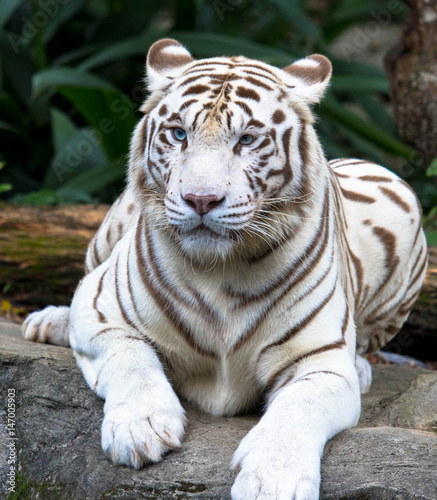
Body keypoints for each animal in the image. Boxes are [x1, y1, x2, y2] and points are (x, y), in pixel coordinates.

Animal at [23, 40, 426, 500]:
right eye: (179, 133)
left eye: (247, 139)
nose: (201, 199)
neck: (220, 270)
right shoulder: (101, 307)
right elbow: (131, 359)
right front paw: (139, 431)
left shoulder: (319, 359)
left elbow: (299, 408)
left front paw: (274, 480)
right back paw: (47, 322)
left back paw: (361, 368)